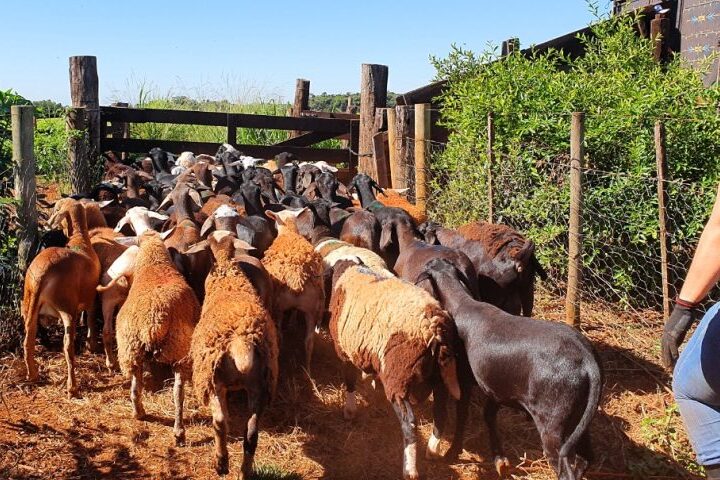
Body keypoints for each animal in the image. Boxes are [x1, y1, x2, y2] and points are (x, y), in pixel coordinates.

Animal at [188, 233, 278, 476]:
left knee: (220, 421)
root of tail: (240, 342)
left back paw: (222, 463)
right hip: (260, 385)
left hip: (213, 380)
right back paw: (244, 472)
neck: (226, 270)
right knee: (251, 434)